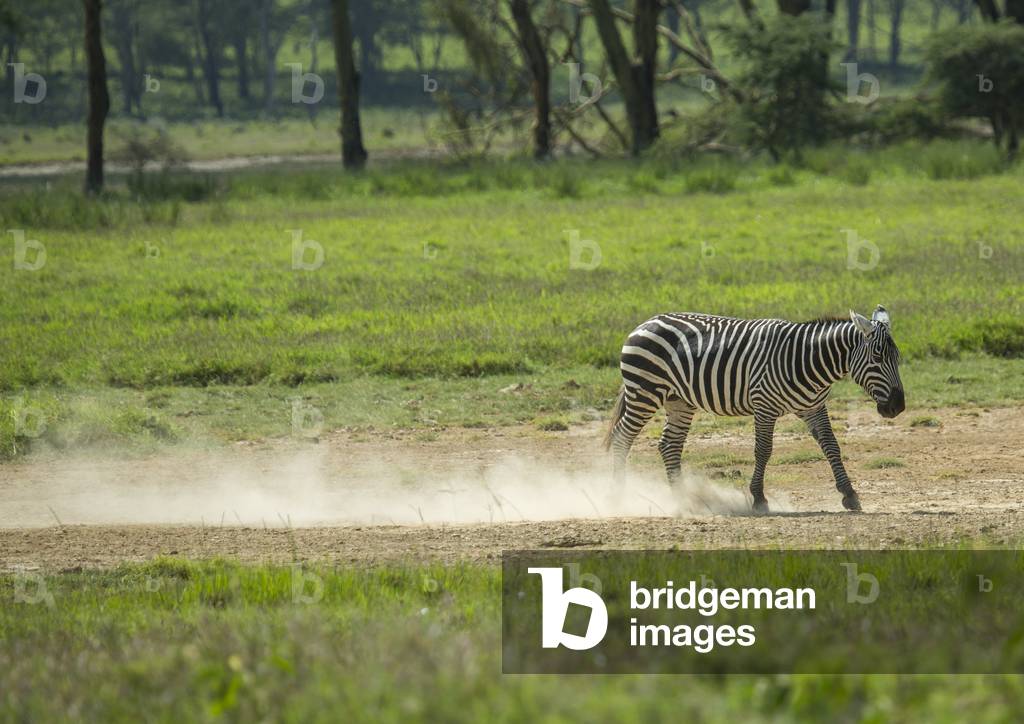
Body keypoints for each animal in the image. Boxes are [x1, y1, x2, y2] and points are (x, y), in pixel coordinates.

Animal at [603, 305, 905, 513]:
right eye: (877, 357)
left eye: (897, 358)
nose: (898, 407)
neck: (807, 361)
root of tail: (647, 321)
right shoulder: (764, 406)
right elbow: (763, 450)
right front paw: (759, 498)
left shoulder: (814, 407)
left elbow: (831, 445)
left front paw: (849, 494)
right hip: (644, 393)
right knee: (622, 438)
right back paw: (618, 495)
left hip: (679, 400)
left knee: (669, 445)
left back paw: (682, 497)